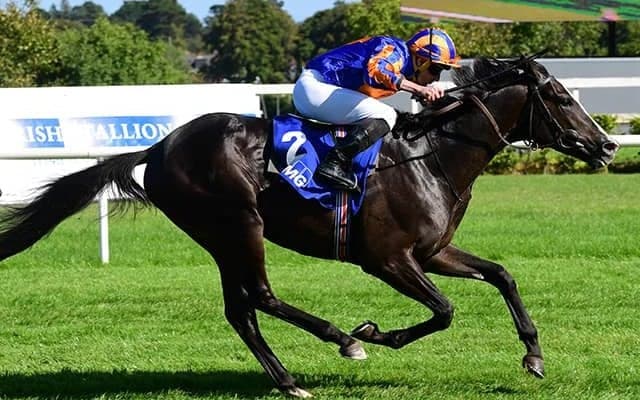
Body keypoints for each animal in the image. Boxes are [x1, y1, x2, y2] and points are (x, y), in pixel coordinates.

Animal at [0, 56, 619, 398]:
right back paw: (341, 340)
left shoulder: (433, 252)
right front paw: (374, 333)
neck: (432, 155)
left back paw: (288, 380)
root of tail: (160, 146)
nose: (609, 144)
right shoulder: (388, 260)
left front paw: (533, 356)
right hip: (238, 224)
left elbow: (502, 275)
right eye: (560, 96)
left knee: (241, 310)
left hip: (221, 237)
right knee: (261, 296)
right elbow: (444, 311)